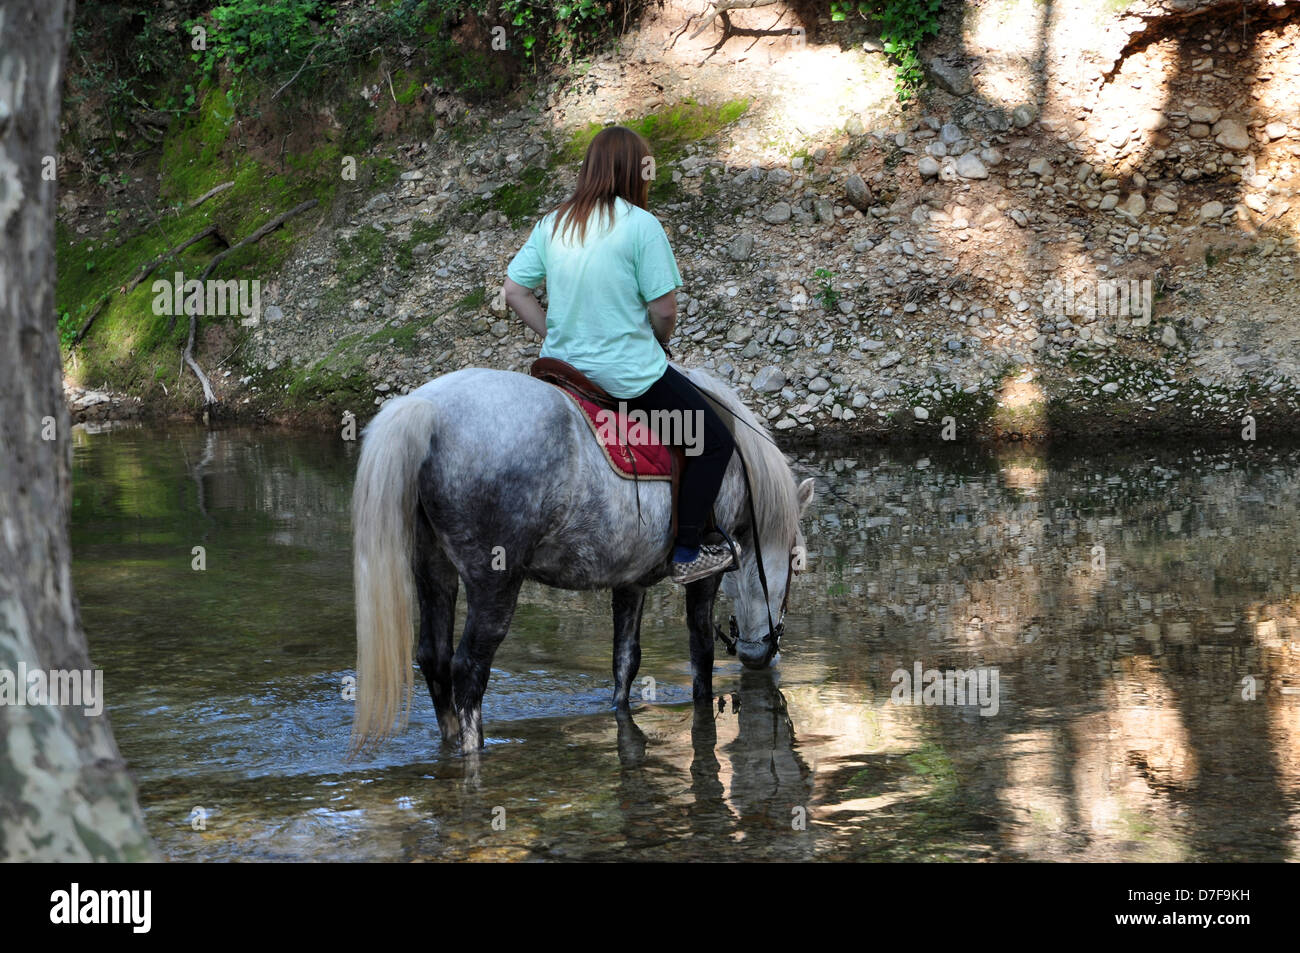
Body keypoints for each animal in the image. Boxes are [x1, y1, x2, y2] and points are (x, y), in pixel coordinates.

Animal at [349, 363, 815, 755]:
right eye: (796, 562)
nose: (760, 655)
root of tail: (429, 410)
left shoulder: (631, 581)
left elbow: (625, 661)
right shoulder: (705, 577)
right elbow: (700, 650)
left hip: (433, 569)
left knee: (435, 657)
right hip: (494, 581)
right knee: (468, 668)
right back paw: (473, 749)